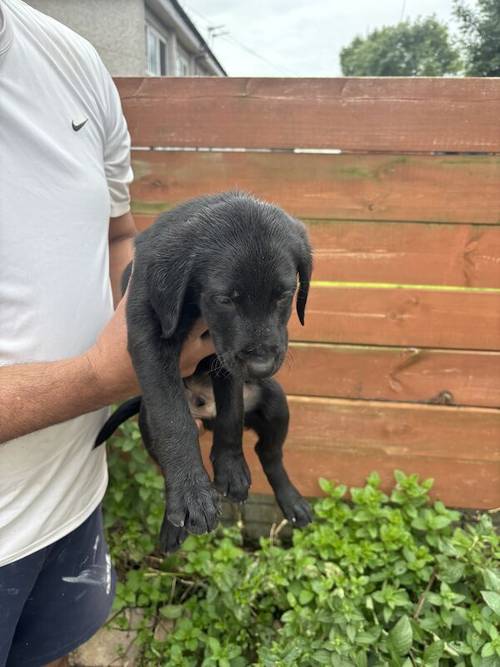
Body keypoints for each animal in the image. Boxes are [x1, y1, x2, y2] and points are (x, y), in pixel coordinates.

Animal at [95, 192, 310, 552]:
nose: (262, 367)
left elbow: (231, 412)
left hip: (275, 401)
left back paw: (292, 502)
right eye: (224, 299)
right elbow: (174, 421)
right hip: (146, 421)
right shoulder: (148, 334)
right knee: (164, 462)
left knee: (269, 453)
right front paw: (193, 495)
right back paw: (173, 524)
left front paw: (230, 467)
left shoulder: (223, 357)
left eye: (284, 294)